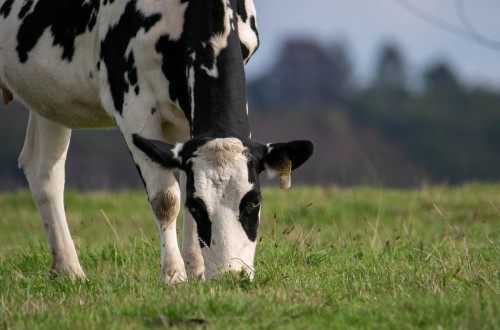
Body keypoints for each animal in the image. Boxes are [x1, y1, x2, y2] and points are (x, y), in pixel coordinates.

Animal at [0, 0, 312, 284]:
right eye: (197, 207)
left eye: (254, 202)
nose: (230, 275)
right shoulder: (131, 104)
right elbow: (166, 198)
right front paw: (174, 274)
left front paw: (196, 270)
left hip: (47, 96)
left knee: (44, 171)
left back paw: (67, 270)